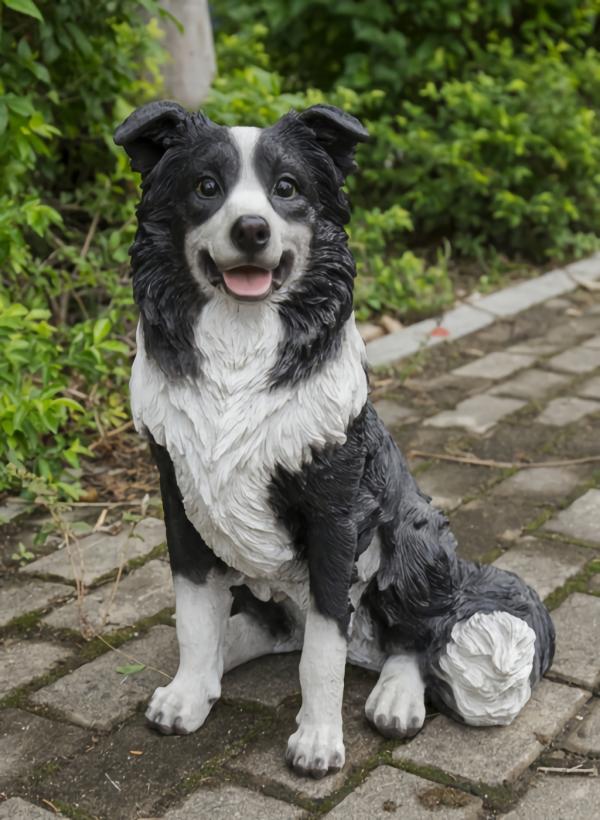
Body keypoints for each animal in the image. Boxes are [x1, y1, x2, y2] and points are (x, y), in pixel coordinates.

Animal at [113, 99, 552, 780]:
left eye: (287, 189)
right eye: (206, 187)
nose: (251, 230)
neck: (240, 346)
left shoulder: (335, 513)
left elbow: (323, 652)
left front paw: (318, 741)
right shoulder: (180, 497)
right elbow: (193, 616)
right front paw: (187, 694)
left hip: (413, 536)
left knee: (413, 637)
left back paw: (395, 697)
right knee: (265, 630)